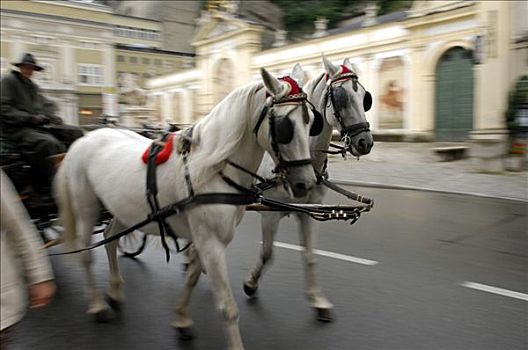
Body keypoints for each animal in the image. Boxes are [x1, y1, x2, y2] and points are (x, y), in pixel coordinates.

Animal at [55, 65, 316, 348]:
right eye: (284, 126)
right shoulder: (211, 242)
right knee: (87, 252)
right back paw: (97, 305)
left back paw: (114, 291)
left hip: (124, 208)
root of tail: (85, 137)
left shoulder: (207, 240)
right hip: (87, 207)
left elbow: (191, 277)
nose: (306, 183)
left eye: (311, 121)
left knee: (110, 237)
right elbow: (227, 307)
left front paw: (181, 318)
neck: (212, 169)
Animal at [241, 56, 374, 322]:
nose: (365, 142)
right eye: (341, 97)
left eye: (365, 96)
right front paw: (250, 283)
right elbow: (267, 253)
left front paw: (318, 300)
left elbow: (311, 255)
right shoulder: (270, 214)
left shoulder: (310, 211)